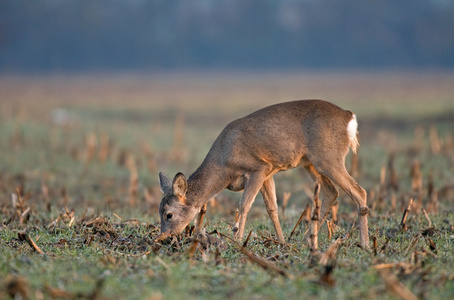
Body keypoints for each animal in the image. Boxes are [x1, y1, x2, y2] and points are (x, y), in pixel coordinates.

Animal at [159, 100, 368, 248]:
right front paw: (282, 241)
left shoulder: (258, 168)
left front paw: (236, 240)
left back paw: (364, 244)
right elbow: (272, 208)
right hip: (311, 163)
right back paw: (308, 240)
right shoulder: (269, 173)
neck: (223, 164)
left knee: (360, 191)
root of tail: (349, 117)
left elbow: (244, 205)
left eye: (169, 214)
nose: (163, 237)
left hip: (328, 159)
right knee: (331, 192)